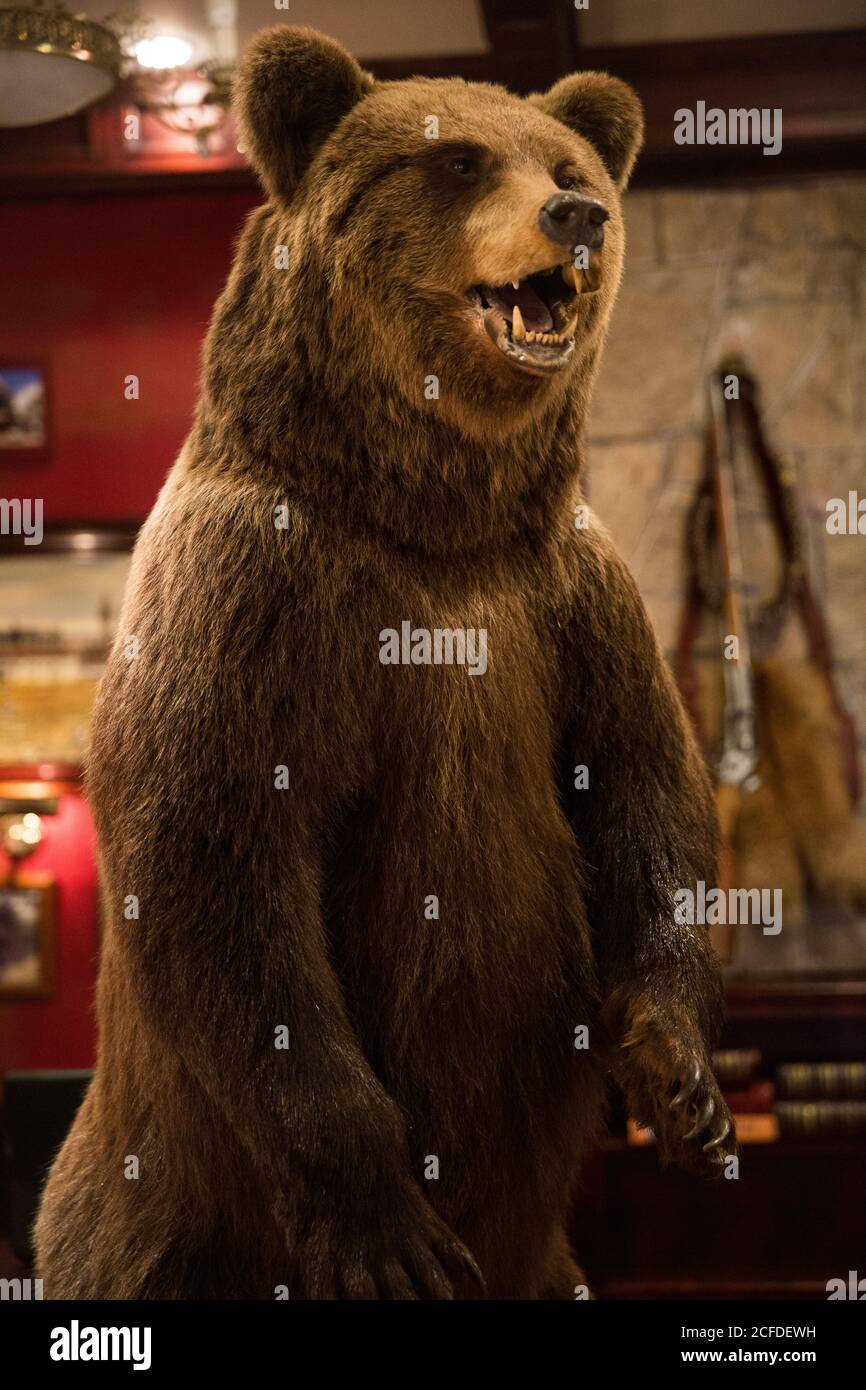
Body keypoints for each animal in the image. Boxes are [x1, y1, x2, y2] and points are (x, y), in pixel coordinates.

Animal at [34, 26, 734, 1301]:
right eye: (456, 162)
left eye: (567, 162)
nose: (574, 214)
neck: (430, 520)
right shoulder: (249, 598)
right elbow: (217, 863)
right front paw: (392, 1234)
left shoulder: (569, 598)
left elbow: (644, 786)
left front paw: (681, 1081)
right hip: (156, 1216)